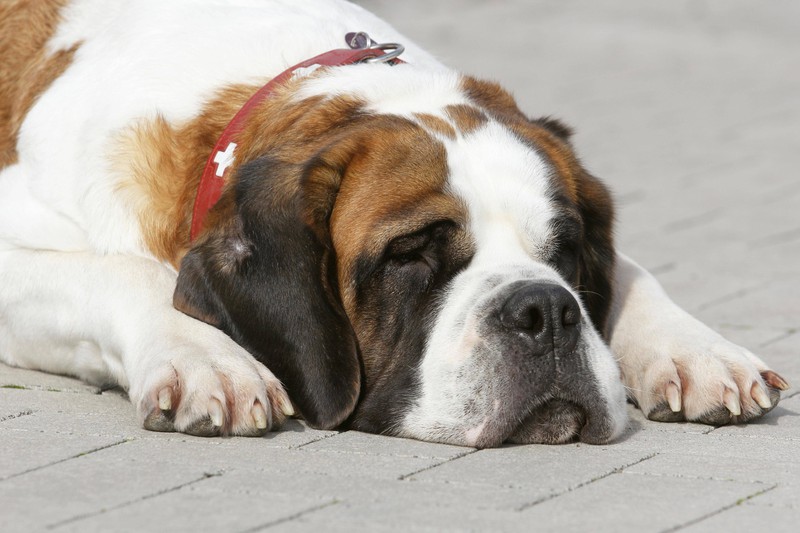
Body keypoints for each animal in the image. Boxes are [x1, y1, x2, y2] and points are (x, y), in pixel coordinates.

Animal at [0, 0, 788, 446]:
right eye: (411, 255)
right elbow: (125, 272)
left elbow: (633, 269)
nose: (544, 310)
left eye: (564, 254)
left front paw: (697, 350)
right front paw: (207, 360)